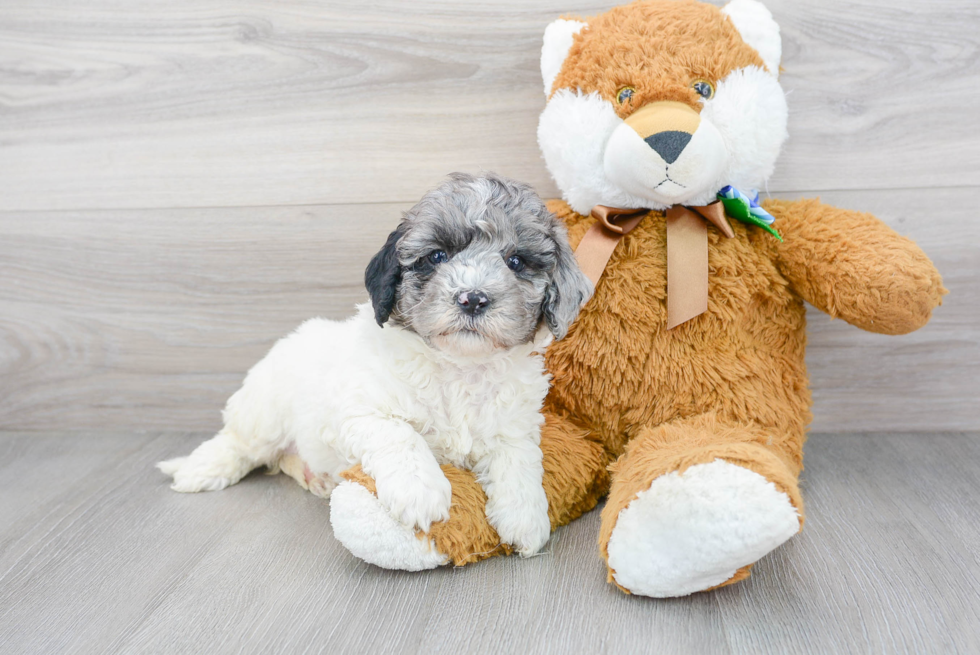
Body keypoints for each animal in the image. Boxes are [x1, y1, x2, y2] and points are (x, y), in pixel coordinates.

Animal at [157, 172, 592, 556]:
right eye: (437, 256)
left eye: (516, 261)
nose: (472, 298)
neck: (458, 367)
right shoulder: (357, 411)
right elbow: (401, 434)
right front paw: (421, 492)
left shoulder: (513, 426)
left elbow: (519, 461)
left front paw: (526, 518)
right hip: (266, 410)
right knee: (240, 443)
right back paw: (200, 470)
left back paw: (316, 478)